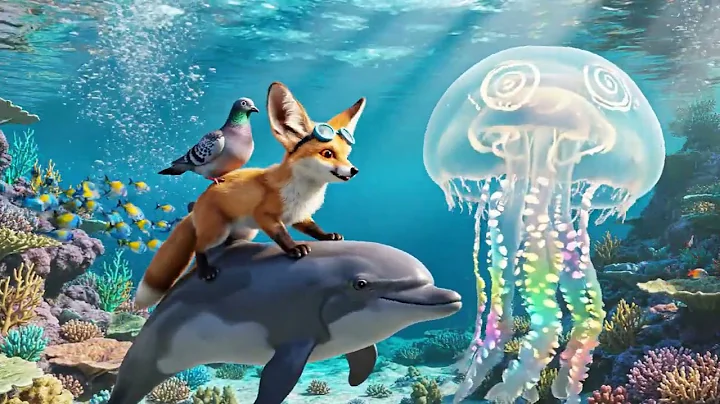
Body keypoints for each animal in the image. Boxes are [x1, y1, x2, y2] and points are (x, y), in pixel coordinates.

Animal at [134, 81, 366, 309]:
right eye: (327, 153)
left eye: (346, 155)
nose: (354, 170)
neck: (305, 193)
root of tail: (197, 205)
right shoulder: (265, 215)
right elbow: (281, 235)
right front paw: (294, 248)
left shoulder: (299, 215)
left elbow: (313, 228)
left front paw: (328, 236)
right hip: (217, 231)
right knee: (199, 246)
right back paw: (205, 270)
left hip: (244, 233)